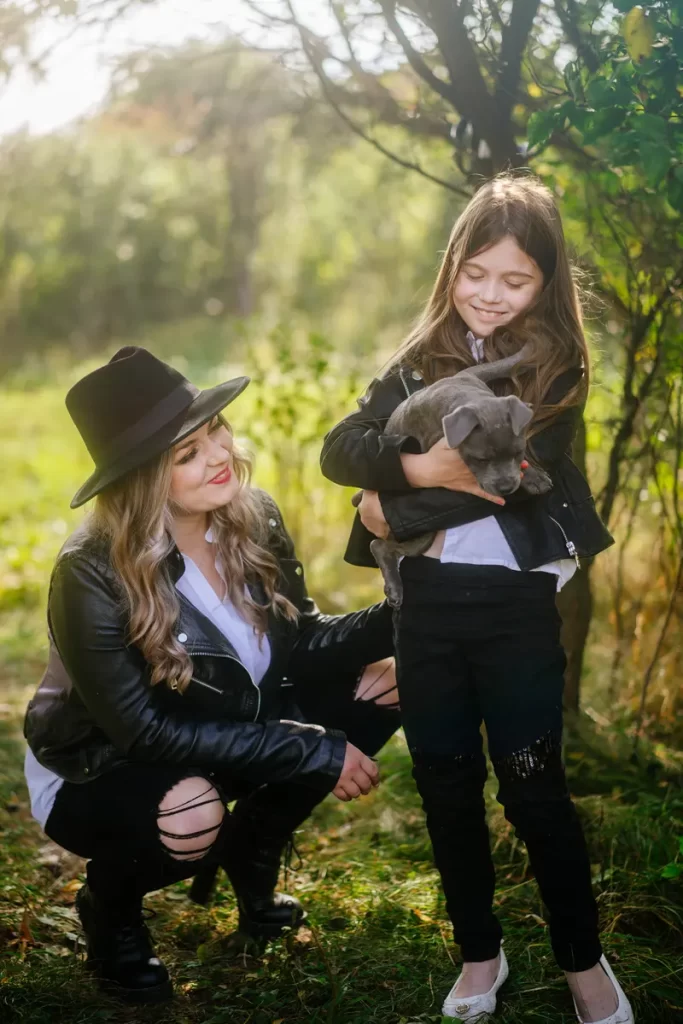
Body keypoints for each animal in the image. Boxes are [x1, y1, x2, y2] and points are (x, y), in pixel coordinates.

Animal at [355, 346, 552, 607]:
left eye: (518, 452)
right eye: (481, 460)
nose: (506, 487)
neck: (467, 397)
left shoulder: (475, 376)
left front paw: (534, 476)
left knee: (383, 547)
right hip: (423, 532)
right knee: (379, 545)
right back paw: (395, 588)